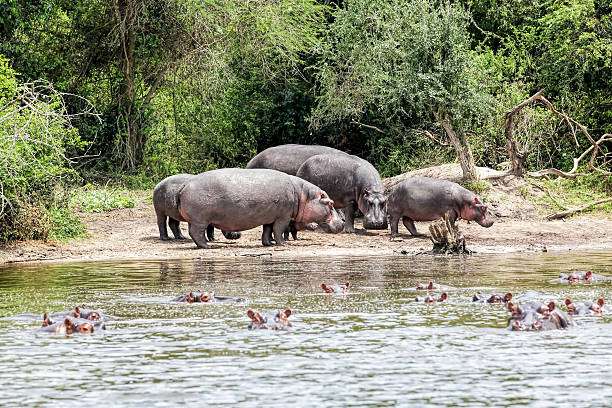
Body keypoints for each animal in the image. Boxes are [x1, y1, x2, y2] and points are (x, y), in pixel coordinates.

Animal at [177, 167, 344, 247]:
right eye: (330, 203)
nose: (342, 223)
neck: (303, 195)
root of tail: (185, 185)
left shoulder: (270, 217)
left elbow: (267, 231)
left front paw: (268, 244)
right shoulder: (283, 217)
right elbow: (278, 230)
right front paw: (283, 244)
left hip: (197, 220)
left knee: (195, 233)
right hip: (200, 220)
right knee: (196, 233)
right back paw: (208, 246)